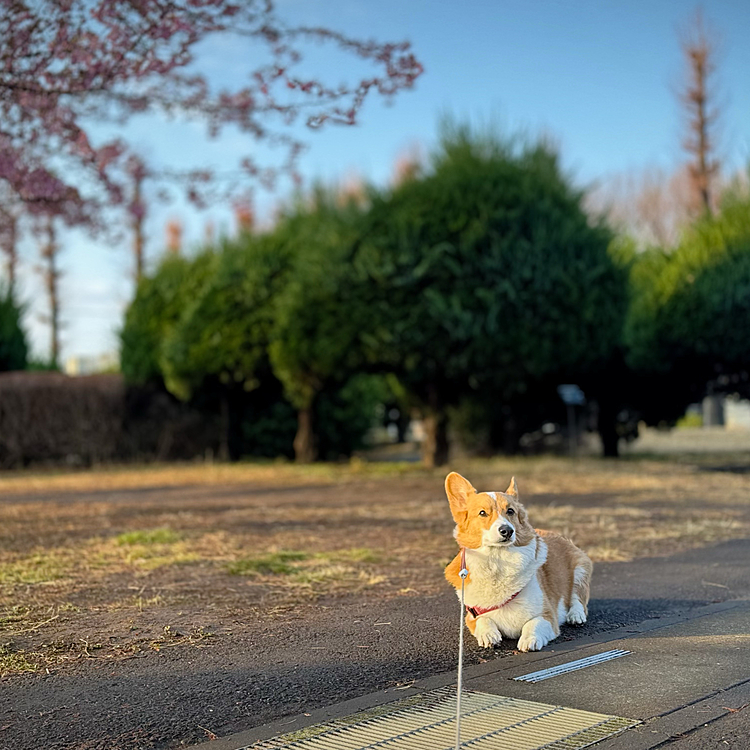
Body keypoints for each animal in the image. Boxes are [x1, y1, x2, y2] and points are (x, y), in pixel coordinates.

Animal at [446, 472, 592, 656]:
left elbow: (532, 624)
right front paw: (489, 635)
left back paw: (575, 615)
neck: (498, 561)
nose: (507, 531)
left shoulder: (547, 615)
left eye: (510, 511)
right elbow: (483, 620)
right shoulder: (471, 615)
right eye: (482, 513)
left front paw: (529, 640)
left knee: (577, 599)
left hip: (580, 569)